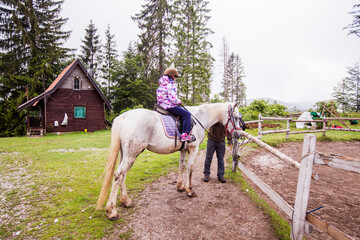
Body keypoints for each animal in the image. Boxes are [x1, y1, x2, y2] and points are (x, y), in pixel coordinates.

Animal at [96, 102, 242, 220]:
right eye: (236, 117)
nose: (238, 134)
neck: (199, 117)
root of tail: (124, 117)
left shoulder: (184, 150)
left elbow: (181, 166)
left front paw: (180, 186)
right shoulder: (193, 149)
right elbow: (190, 169)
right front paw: (189, 190)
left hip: (126, 154)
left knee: (122, 176)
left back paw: (126, 201)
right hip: (132, 154)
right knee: (118, 175)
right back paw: (112, 211)